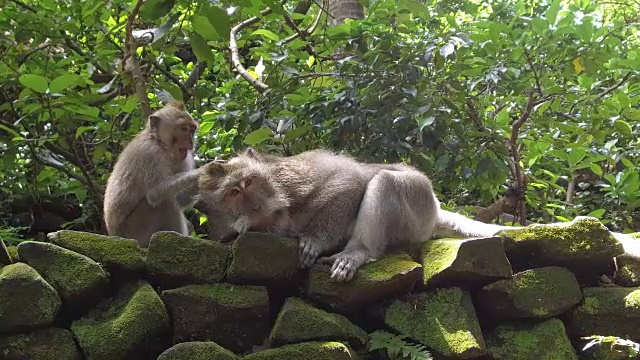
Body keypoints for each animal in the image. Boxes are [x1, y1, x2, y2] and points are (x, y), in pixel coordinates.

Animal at [104, 101, 201, 248]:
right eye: (183, 128)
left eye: (192, 129)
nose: (191, 142)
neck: (159, 143)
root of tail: (114, 235)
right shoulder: (148, 153)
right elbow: (155, 192)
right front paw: (207, 169)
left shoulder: (186, 158)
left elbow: (181, 198)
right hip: (137, 229)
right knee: (164, 201)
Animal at [196, 148, 640, 282]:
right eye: (232, 194)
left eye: (247, 184)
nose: (253, 206)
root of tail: (436, 208)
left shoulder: (299, 180)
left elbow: (349, 183)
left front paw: (315, 241)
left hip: (418, 205)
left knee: (385, 182)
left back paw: (358, 251)